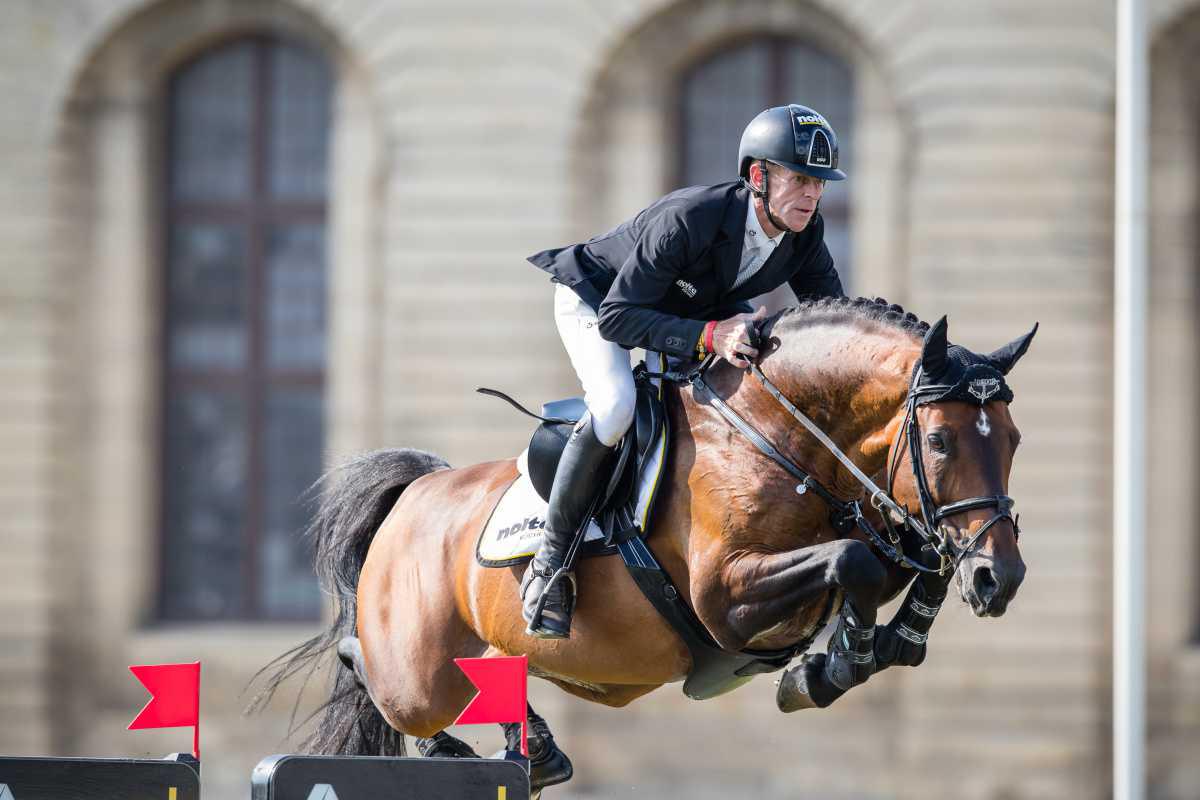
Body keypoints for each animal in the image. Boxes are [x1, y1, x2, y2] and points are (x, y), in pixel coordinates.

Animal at [255, 296, 1037, 794]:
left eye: (1014, 440)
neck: (779, 436)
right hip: (416, 676)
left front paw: (871, 648)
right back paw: (461, 739)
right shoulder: (726, 599)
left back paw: (534, 749)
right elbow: (856, 563)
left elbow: (903, 562)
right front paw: (839, 660)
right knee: (369, 664)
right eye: (939, 441)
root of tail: (418, 491)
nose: (1003, 579)